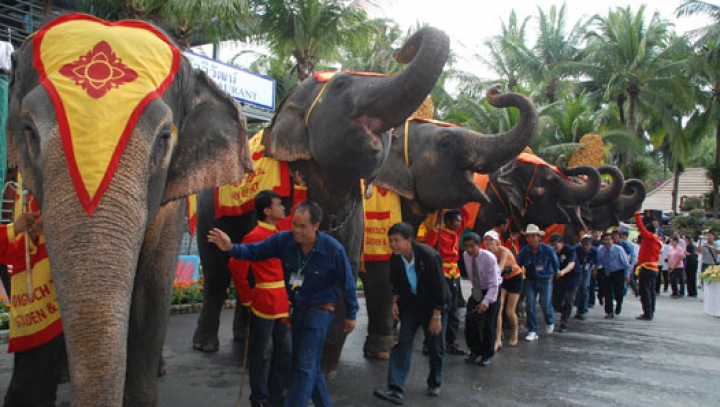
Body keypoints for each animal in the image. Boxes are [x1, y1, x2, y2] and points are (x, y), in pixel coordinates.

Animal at [191, 26, 450, 380]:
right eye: (340, 85)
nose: (402, 49)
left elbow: (343, 276)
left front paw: (323, 372)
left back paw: (244, 337)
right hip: (209, 206)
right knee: (216, 270)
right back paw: (206, 345)